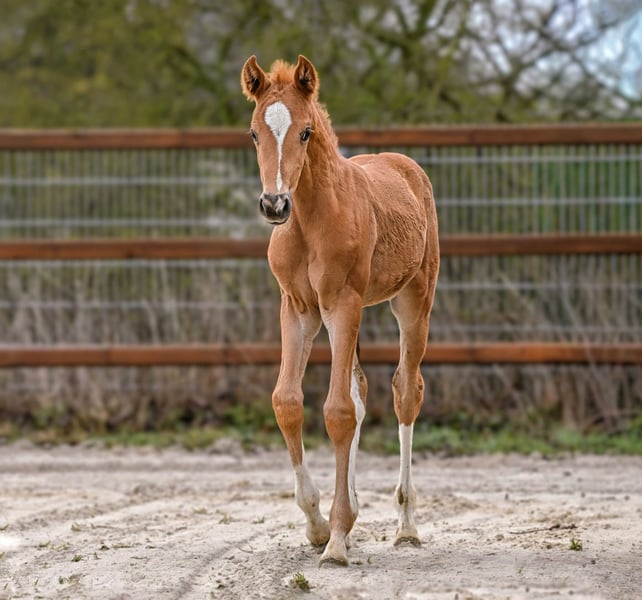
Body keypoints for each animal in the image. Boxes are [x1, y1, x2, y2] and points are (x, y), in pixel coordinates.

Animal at [241, 55, 439, 566]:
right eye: (254, 132)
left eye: (306, 131)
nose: (274, 204)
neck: (310, 221)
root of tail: (405, 165)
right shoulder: (298, 310)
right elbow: (289, 402)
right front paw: (319, 525)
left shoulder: (343, 303)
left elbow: (337, 412)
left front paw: (335, 540)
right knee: (361, 391)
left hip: (413, 300)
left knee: (405, 391)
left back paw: (406, 525)